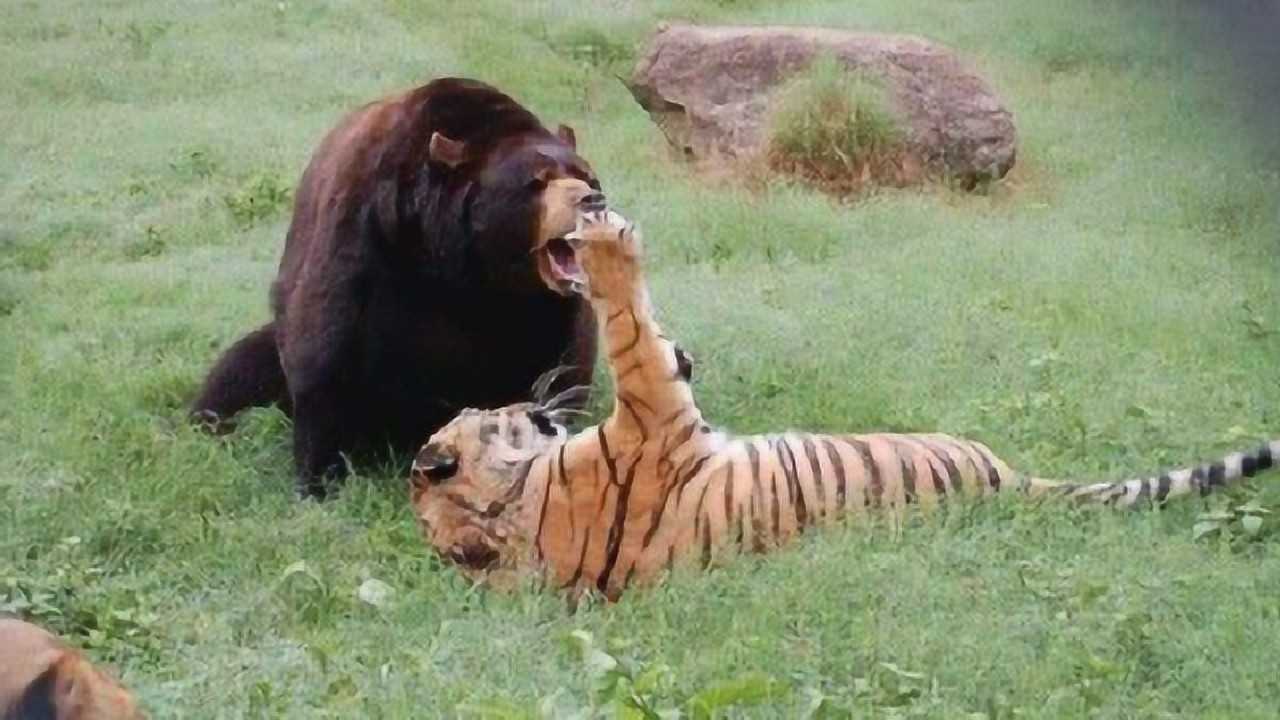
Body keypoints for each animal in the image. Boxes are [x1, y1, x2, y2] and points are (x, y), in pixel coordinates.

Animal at [192, 77, 603, 499]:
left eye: (586, 175)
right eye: (536, 181)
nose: (592, 199)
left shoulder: (539, 306)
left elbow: (557, 366)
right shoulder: (365, 236)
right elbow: (325, 353)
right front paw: (319, 478)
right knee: (237, 372)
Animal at [409, 208, 1279, 601]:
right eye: (493, 412)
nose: (532, 400)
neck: (516, 507)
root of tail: (1013, 482)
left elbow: (653, 341)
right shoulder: (652, 410)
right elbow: (632, 330)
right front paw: (603, 242)